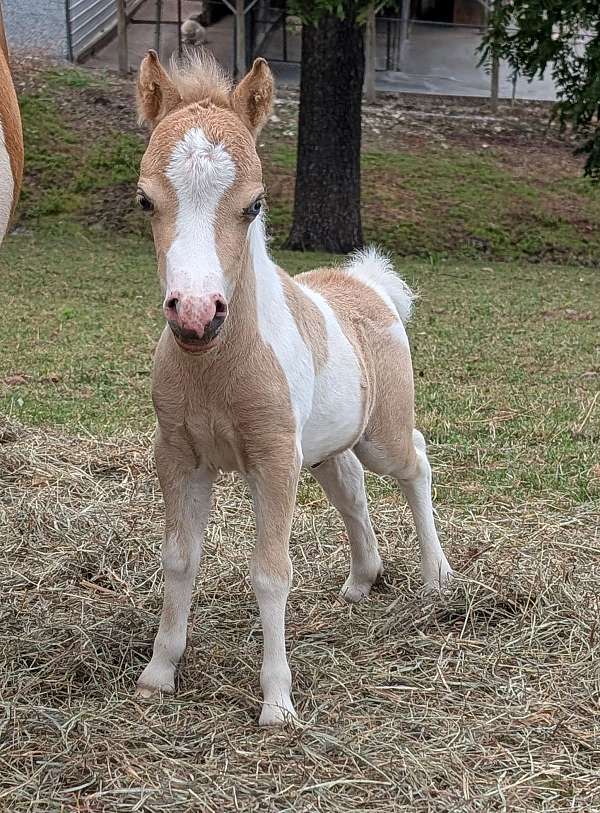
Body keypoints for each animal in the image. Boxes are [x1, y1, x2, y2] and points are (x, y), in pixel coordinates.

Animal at [133, 51, 452, 726]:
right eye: (145, 201)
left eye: (254, 204)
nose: (196, 315)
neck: (219, 367)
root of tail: (369, 285)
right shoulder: (178, 455)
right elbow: (179, 557)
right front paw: (158, 672)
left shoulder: (274, 459)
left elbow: (270, 571)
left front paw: (277, 703)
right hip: (328, 448)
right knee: (352, 490)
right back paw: (363, 579)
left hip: (379, 435)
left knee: (415, 460)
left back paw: (437, 574)